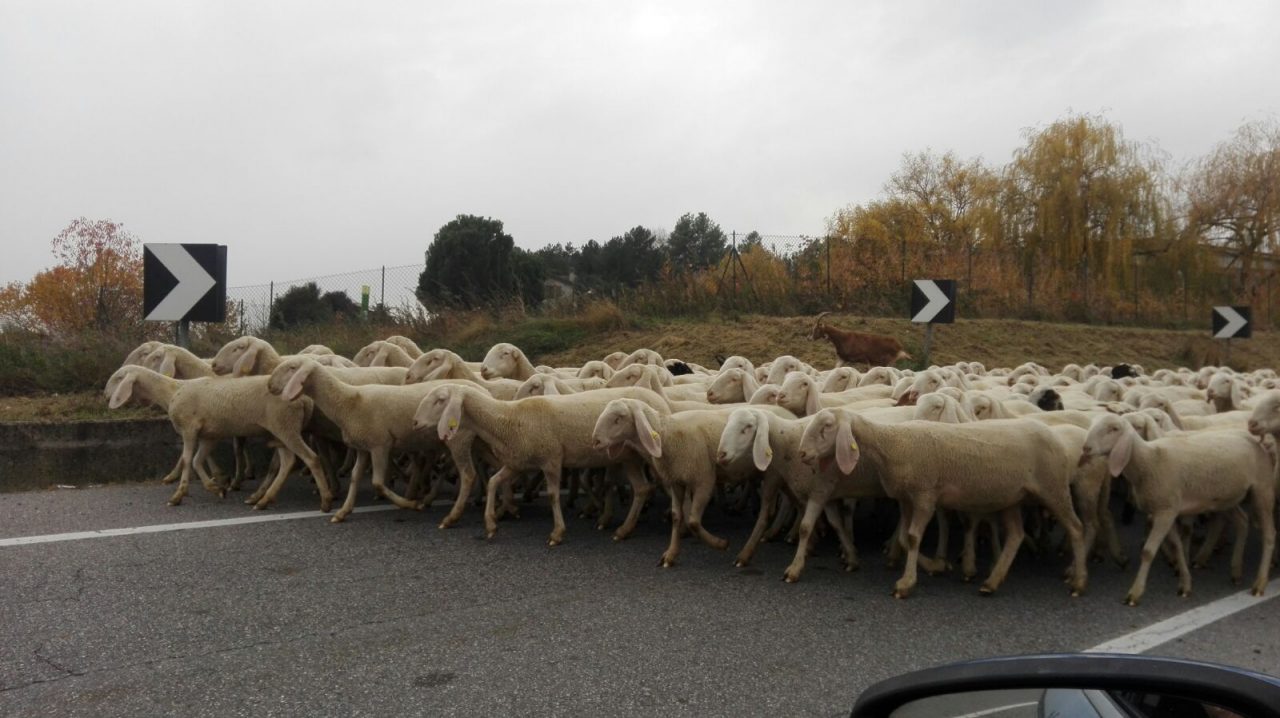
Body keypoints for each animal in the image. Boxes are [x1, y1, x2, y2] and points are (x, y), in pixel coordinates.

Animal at [416, 384, 672, 544]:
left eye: (440, 400)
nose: (416, 423)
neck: (508, 420)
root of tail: (660, 400)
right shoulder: (517, 462)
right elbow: (493, 482)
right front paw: (490, 524)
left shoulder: (551, 458)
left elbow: (552, 494)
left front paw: (557, 533)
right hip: (629, 457)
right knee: (642, 488)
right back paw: (624, 530)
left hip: (648, 452)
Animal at [798, 410, 1089, 598]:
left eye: (826, 426)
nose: (802, 454)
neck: (892, 444)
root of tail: (1056, 436)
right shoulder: (906, 498)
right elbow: (903, 538)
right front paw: (936, 566)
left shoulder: (925, 495)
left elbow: (913, 538)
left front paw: (906, 583)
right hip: (1012, 498)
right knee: (1016, 535)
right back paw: (993, 581)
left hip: (1053, 488)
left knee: (1076, 528)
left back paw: (1078, 581)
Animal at [1081, 413, 1275, 604]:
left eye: (1113, 429)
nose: (1086, 448)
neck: (1149, 460)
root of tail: (1253, 437)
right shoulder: (1167, 511)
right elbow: (1177, 547)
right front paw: (1185, 584)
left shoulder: (1165, 512)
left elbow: (1148, 551)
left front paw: (1135, 593)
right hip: (1225, 498)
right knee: (1242, 521)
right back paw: (1236, 571)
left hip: (1262, 488)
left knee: (1269, 534)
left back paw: (1259, 583)